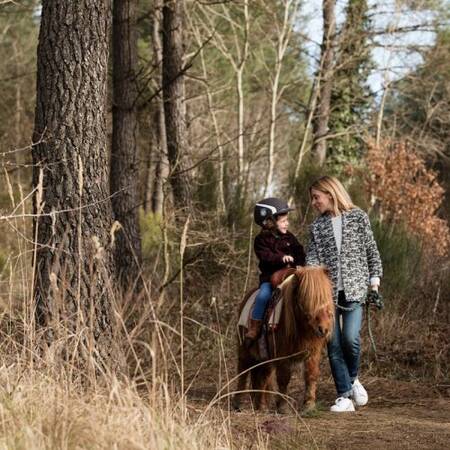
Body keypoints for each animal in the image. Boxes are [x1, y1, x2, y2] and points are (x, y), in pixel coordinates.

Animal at [232, 266, 334, 414]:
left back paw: (261, 405)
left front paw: (309, 405)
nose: (324, 329)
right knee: (243, 372)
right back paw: (238, 403)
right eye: (307, 298)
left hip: (265, 358)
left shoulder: (313, 352)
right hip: (244, 350)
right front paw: (283, 407)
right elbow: (284, 378)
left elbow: (311, 374)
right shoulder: (282, 355)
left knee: (263, 377)